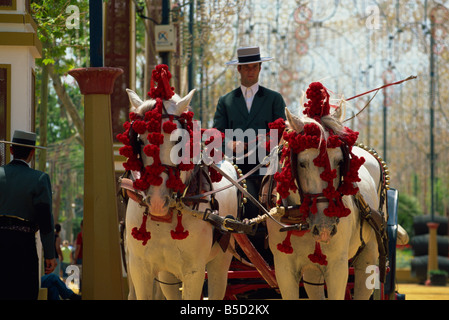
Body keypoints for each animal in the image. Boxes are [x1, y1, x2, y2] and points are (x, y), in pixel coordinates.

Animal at [121, 88, 236, 300]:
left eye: (179, 140)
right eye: (140, 140)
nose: (157, 201)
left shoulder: (194, 272)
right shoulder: (140, 268)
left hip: (221, 262)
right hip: (167, 273)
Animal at [266, 105, 384, 300]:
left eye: (340, 161)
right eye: (302, 163)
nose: (325, 227)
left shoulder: (338, 267)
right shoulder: (284, 268)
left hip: (370, 254)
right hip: (312, 270)